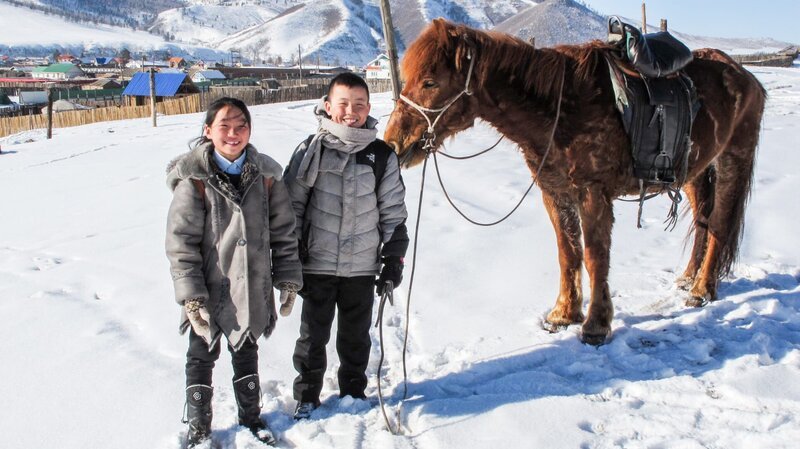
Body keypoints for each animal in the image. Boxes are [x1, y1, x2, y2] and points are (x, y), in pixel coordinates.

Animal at [384, 19, 764, 344]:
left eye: (430, 82)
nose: (393, 143)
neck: (559, 107)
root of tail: (745, 76)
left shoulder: (593, 194)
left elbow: (596, 256)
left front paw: (596, 324)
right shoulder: (555, 193)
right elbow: (568, 252)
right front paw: (564, 313)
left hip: (733, 158)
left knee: (720, 223)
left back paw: (702, 289)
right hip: (695, 171)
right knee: (702, 221)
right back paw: (688, 277)